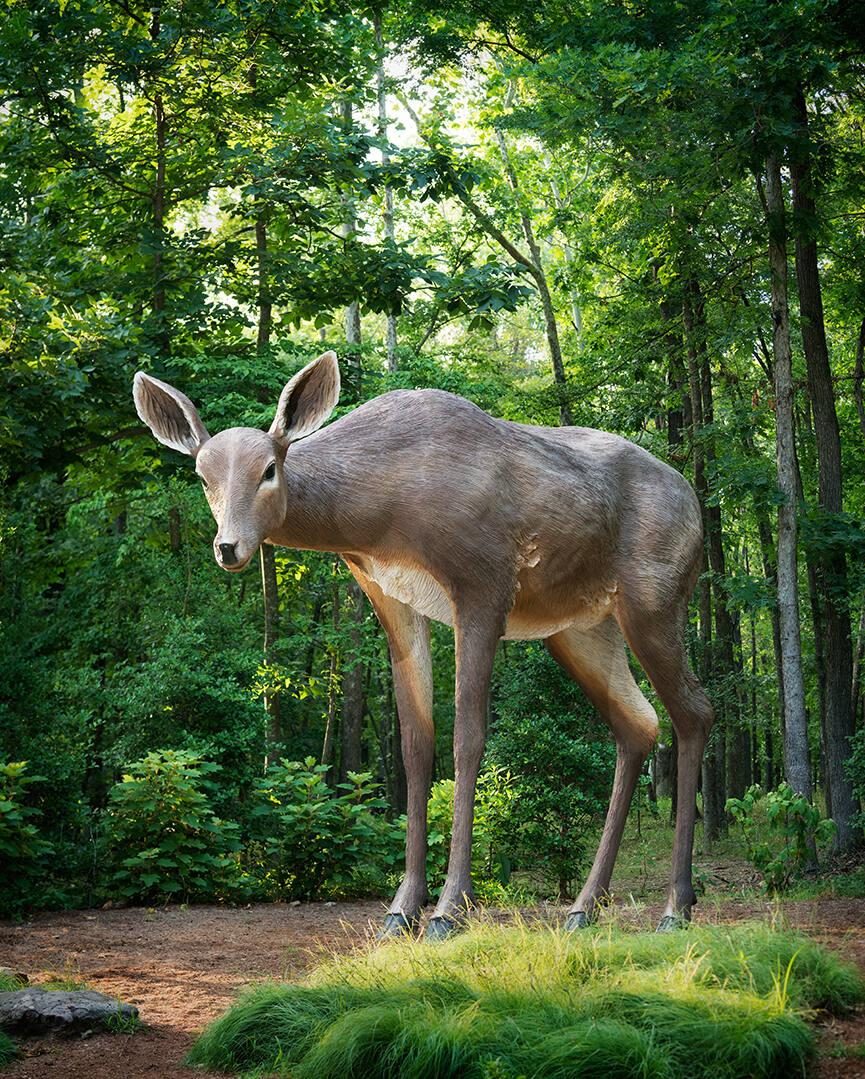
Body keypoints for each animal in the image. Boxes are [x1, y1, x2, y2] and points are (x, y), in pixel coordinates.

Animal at [133, 349, 713, 940]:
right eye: (203, 475)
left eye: (269, 469)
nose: (228, 547)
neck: (380, 511)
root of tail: (696, 507)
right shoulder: (391, 597)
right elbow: (415, 743)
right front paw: (402, 907)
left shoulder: (484, 585)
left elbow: (468, 738)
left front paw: (450, 908)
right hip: (579, 627)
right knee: (638, 724)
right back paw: (584, 907)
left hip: (653, 601)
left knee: (695, 711)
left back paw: (676, 907)